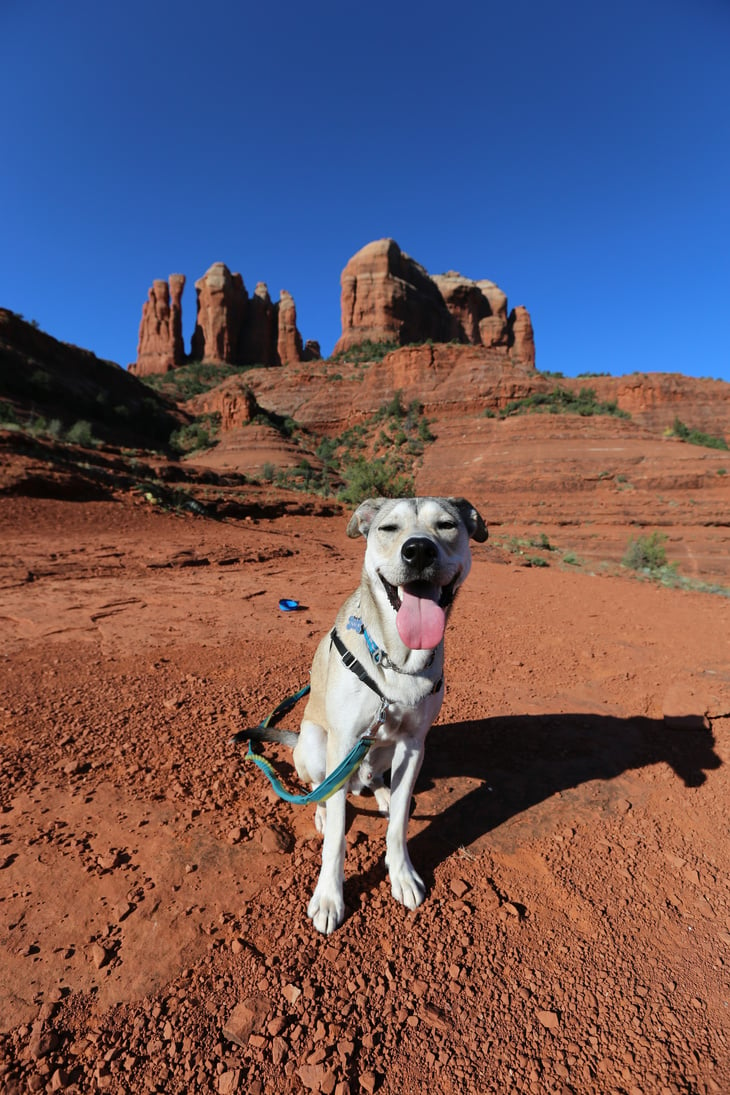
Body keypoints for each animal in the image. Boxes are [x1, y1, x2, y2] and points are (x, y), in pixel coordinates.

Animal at [293, 497, 490, 932]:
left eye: (447, 525)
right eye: (388, 528)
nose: (418, 551)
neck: (397, 659)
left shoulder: (414, 745)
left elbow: (399, 823)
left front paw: (401, 874)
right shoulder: (343, 742)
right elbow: (336, 839)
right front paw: (329, 898)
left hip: (382, 751)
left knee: (373, 778)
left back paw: (380, 792)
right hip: (313, 743)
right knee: (322, 789)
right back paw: (322, 810)